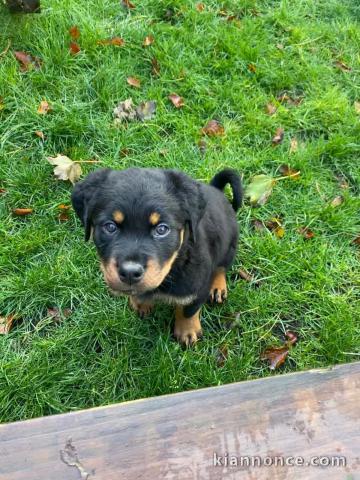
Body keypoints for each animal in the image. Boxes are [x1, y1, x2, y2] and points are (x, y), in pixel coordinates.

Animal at [71, 169, 242, 344]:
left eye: (162, 229)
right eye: (110, 227)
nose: (130, 273)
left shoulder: (197, 288)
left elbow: (188, 311)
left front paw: (187, 332)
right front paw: (140, 304)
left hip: (230, 246)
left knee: (221, 268)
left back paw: (218, 287)